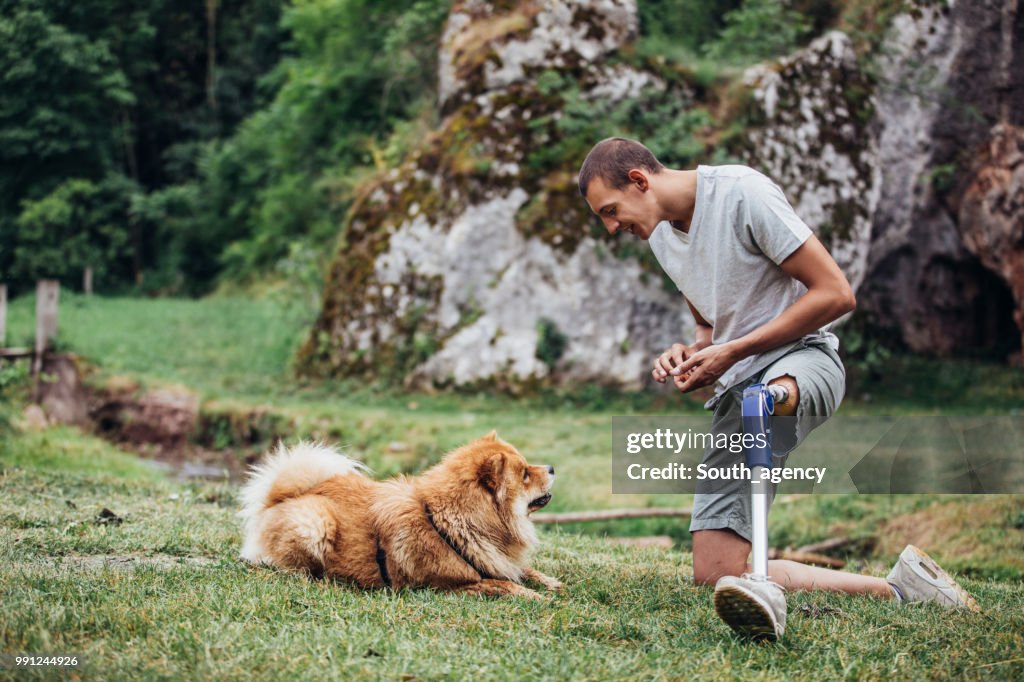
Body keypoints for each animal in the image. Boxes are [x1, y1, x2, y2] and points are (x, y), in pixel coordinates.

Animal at [236, 430, 565, 593]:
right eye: (525, 474)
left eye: (528, 466)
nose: (551, 467)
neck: (447, 523)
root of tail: (276, 499)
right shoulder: (450, 586)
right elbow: (504, 586)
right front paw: (537, 597)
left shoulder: (496, 559)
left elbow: (523, 571)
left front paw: (551, 583)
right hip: (316, 522)